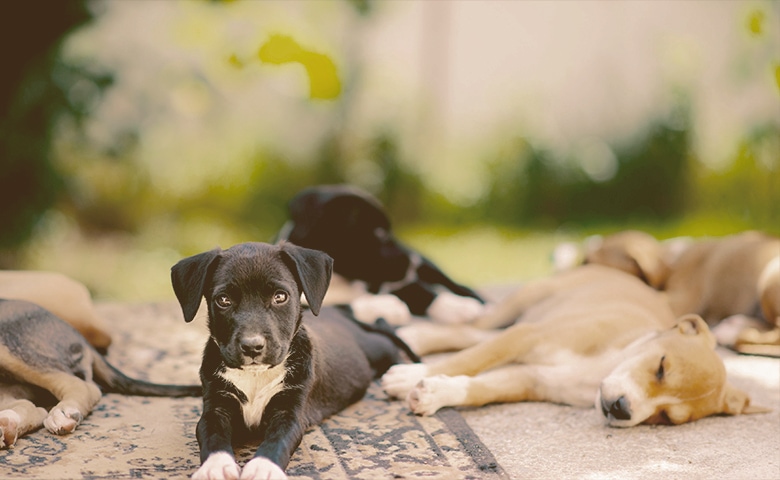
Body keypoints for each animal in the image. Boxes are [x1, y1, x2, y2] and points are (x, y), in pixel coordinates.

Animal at [170, 242, 414, 480]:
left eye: (280, 296)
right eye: (223, 300)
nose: (252, 347)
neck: (256, 375)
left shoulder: (290, 412)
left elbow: (277, 440)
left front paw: (263, 467)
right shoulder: (216, 407)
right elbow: (212, 436)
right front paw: (215, 466)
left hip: (376, 348)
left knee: (390, 347)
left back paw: (404, 376)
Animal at [278, 186, 484, 324]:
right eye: (379, 233)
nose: (413, 261)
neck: (340, 280)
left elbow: (419, 290)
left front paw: (455, 306)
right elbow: (342, 306)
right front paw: (387, 307)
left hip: (429, 267)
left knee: (449, 282)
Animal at [384, 264, 768, 426]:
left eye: (667, 418)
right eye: (661, 366)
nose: (621, 409)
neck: (600, 367)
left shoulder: (530, 379)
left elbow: (480, 388)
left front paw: (435, 393)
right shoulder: (528, 336)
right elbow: (467, 361)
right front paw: (410, 376)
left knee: (474, 338)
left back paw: (413, 338)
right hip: (523, 306)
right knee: (472, 331)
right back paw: (409, 333)